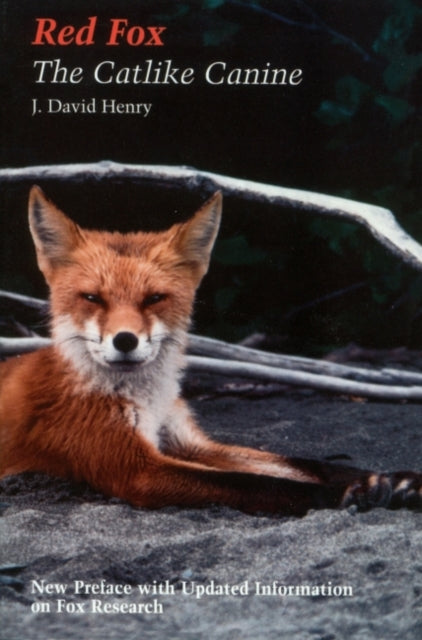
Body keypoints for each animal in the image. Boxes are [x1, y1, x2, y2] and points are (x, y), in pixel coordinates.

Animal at [0, 185, 421, 516]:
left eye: (154, 298)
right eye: (92, 298)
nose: (125, 341)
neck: (146, 401)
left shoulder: (186, 442)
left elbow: (298, 462)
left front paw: (390, 479)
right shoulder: (136, 468)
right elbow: (256, 483)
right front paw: (341, 493)